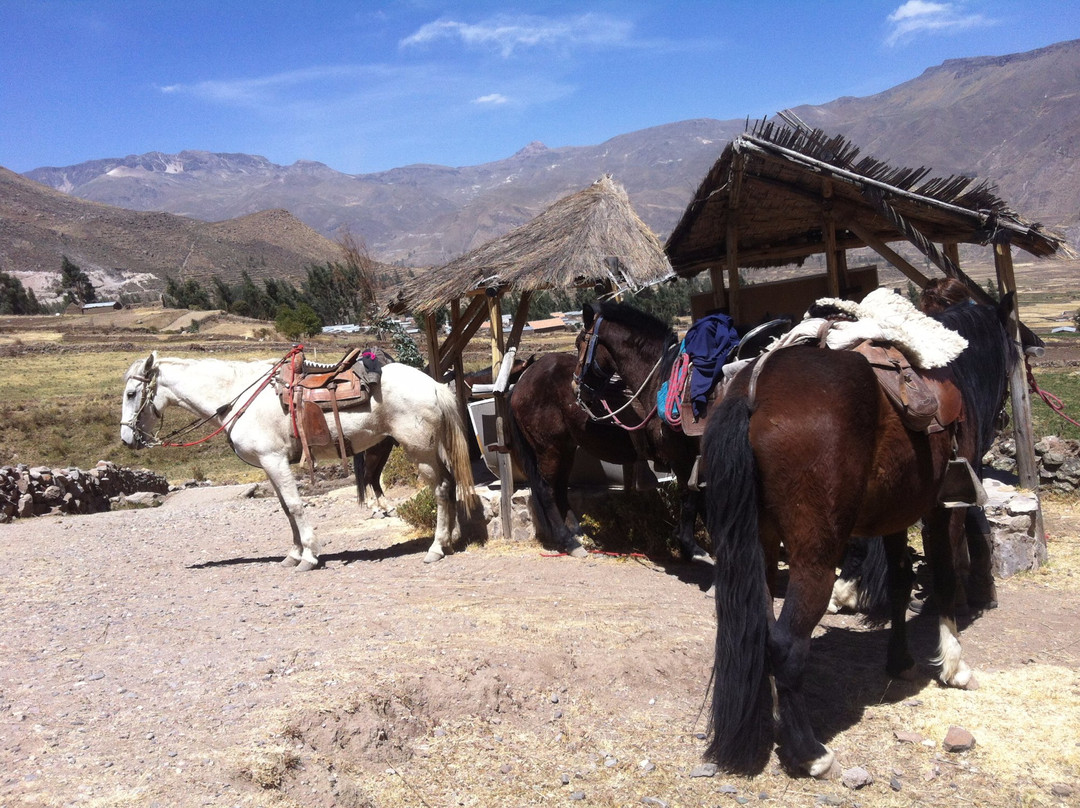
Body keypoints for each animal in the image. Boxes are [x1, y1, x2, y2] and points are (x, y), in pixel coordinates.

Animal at [120, 352, 475, 570]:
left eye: (131, 394)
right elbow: (285, 509)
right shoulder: (270, 465)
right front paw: (293, 554)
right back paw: (452, 538)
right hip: (433, 448)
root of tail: (434, 385)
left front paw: (309, 555)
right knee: (451, 483)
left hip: (420, 450)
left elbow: (294, 506)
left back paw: (436, 548)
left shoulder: (273, 459)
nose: (127, 439)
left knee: (442, 489)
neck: (238, 397)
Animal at [512, 300, 710, 562]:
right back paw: (568, 542)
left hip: (565, 449)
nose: (576, 385)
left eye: (579, 343)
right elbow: (691, 500)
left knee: (560, 488)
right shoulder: (682, 458)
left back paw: (578, 534)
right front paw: (692, 548)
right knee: (546, 490)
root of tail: (522, 381)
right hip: (548, 449)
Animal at [702, 293, 1020, 777]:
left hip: (760, 546)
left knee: (759, 631)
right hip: (816, 555)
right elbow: (948, 575)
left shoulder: (895, 517)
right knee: (786, 643)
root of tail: (754, 394)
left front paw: (900, 661)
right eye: (1014, 353)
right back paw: (809, 752)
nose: (1002, 421)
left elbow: (900, 580)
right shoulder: (944, 510)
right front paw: (953, 666)